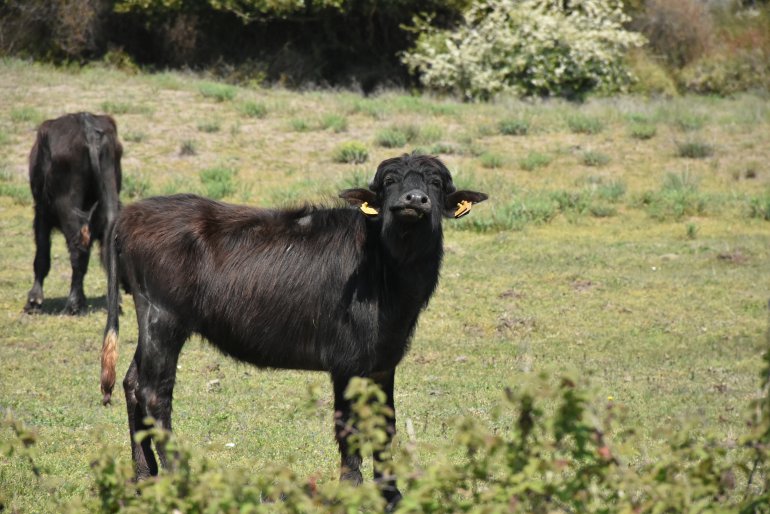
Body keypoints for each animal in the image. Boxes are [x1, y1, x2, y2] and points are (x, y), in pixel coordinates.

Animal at [25, 111, 121, 312]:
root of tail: (87, 126)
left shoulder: (41, 215)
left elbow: (42, 255)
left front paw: (34, 300)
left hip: (66, 210)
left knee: (78, 249)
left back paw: (73, 304)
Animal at [99, 152, 486, 504]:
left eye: (434, 183)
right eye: (390, 181)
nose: (414, 200)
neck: (386, 269)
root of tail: (129, 215)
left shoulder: (383, 361)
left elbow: (384, 423)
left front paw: (390, 492)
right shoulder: (346, 364)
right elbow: (348, 426)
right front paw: (351, 489)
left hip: (150, 322)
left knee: (133, 383)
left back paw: (144, 477)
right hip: (164, 320)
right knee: (155, 394)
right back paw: (180, 478)